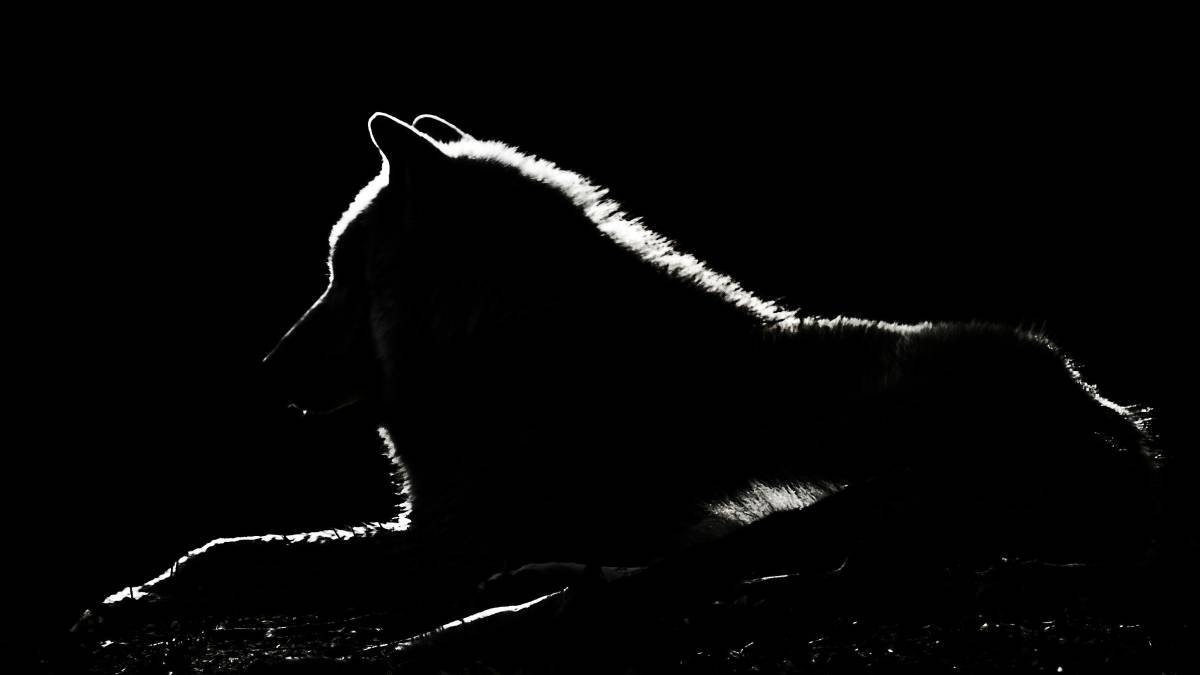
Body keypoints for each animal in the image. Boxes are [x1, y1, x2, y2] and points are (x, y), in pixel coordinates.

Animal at [78, 113, 1159, 654]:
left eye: (342, 274)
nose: (266, 368)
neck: (508, 342)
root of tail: (1118, 430)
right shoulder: (442, 530)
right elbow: (232, 547)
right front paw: (138, 590)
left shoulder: (444, 537)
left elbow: (240, 553)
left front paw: (134, 595)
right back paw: (539, 585)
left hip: (868, 488)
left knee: (737, 582)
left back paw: (508, 613)